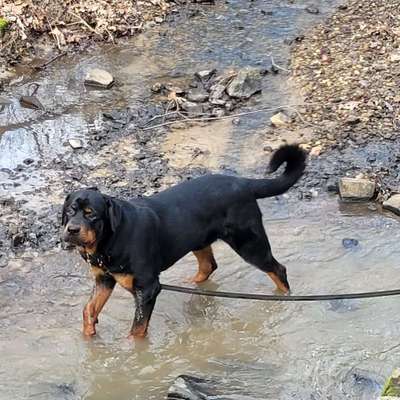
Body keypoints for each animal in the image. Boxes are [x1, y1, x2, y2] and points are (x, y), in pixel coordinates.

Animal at [61, 144, 306, 338]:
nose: (71, 229)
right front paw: (89, 336)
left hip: (249, 243)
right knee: (209, 265)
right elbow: (88, 309)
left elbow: (137, 331)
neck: (108, 242)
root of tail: (243, 183)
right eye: (71, 210)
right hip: (198, 240)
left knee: (278, 270)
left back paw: (285, 298)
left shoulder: (147, 288)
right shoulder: (104, 279)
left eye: (92, 214)